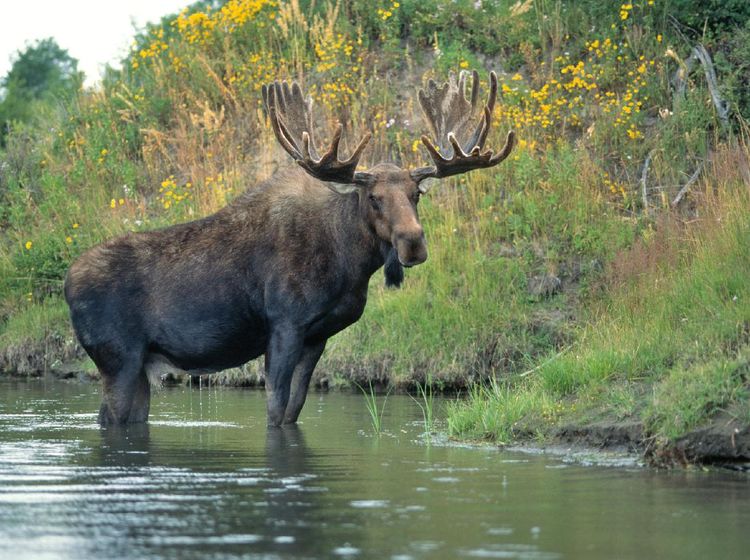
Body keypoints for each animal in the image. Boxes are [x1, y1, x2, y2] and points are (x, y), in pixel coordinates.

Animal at [63, 70, 515, 428]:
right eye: (373, 198)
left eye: (416, 193)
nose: (413, 242)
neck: (349, 266)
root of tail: (66, 284)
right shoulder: (284, 325)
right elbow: (275, 410)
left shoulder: (318, 337)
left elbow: (293, 410)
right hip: (118, 360)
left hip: (138, 366)